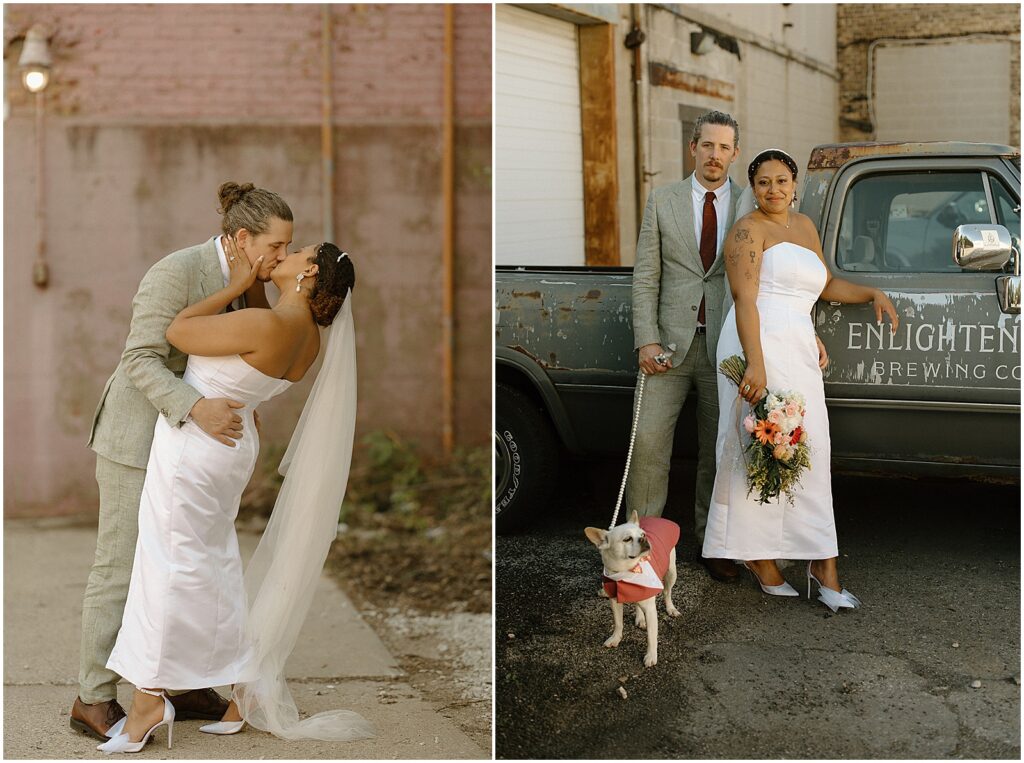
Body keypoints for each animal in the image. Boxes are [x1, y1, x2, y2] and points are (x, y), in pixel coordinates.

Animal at [585, 512, 679, 667]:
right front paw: (616, 638)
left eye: (643, 534)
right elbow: (618, 623)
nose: (644, 538)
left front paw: (651, 655)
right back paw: (640, 618)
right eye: (627, 539)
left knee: (667, 592)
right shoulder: (615, 601)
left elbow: (651, 636)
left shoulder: (651, 609)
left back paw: (671, 608)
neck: (627, 572)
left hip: (671, 572)